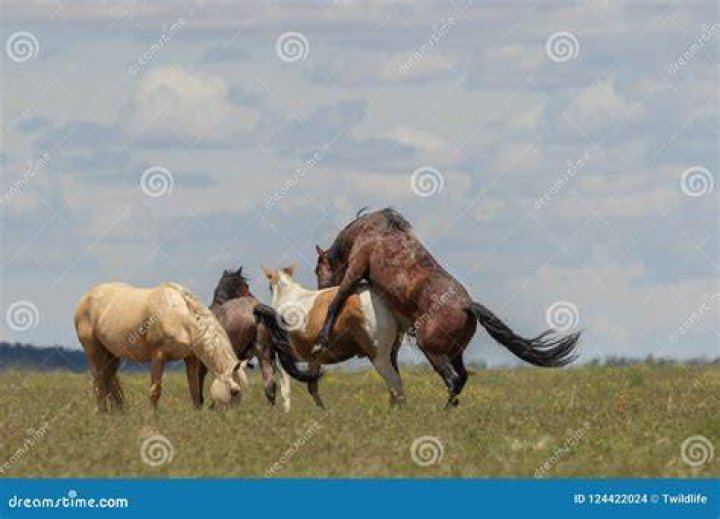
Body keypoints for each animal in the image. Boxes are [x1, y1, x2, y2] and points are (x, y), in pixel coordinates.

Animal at [74, 281, 248, 413]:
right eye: (234, 391)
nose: (231, 418)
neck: (180, 317)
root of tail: (86, 298)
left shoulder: (191, 358)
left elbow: (194, 390)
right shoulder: (158, 356)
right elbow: (155, 391)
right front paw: (152, 419)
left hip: (112, 354)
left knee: (109, 379)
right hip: (94, 351)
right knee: (99, 382)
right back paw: (102, 414)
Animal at [262, 264, 404, 409]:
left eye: (269, 287)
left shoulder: (283, 358)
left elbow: (285, 389)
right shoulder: (314, 359)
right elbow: (312, 386)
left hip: (379, 356)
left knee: (395, 384)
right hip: (391, 354)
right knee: (394, 386)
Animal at [314, 207, 581, 408]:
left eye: (318, 270)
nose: (319, 291)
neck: (370, 230)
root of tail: (467, 306)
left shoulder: (355, 269)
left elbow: (338, 301)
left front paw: (323, 338)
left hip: (433, 350)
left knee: (453, 379)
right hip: (454, 352)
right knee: (461, 378)